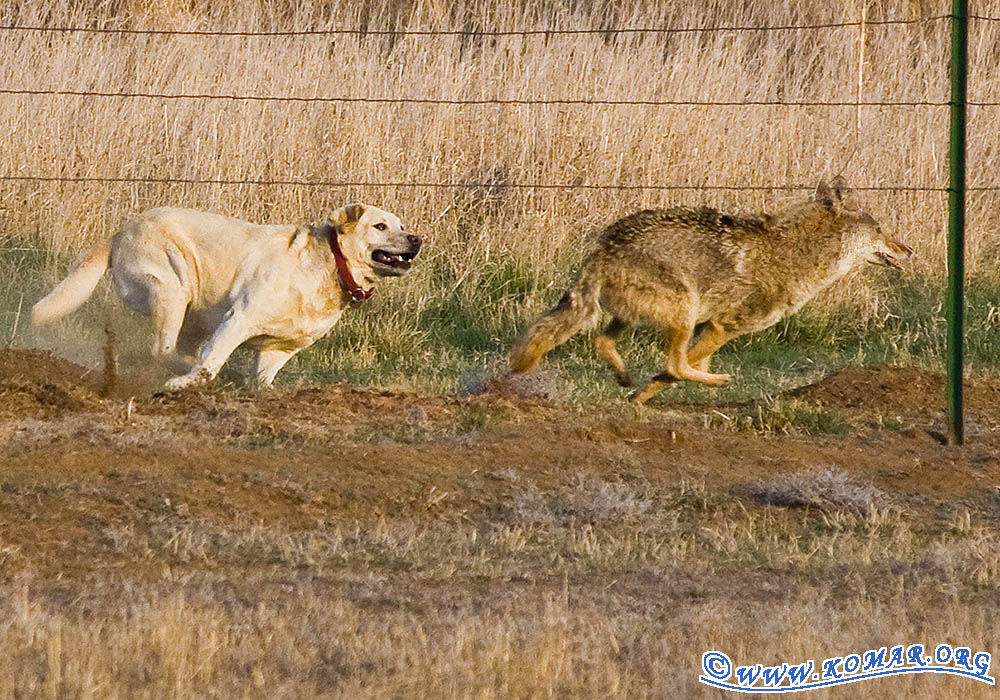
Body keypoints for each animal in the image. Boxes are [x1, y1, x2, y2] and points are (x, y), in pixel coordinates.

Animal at [33, 204, 420, 388]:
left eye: (402, 226)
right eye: (380, 226)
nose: (416, 239)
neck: (330, 266)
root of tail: (120, 233)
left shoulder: (280, 349)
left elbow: (262, 380)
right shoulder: (239, 319)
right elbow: (211, 361)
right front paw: (187, 384)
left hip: (191, 313)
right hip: (173, 290)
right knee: (164, 349)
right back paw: (194, 374)